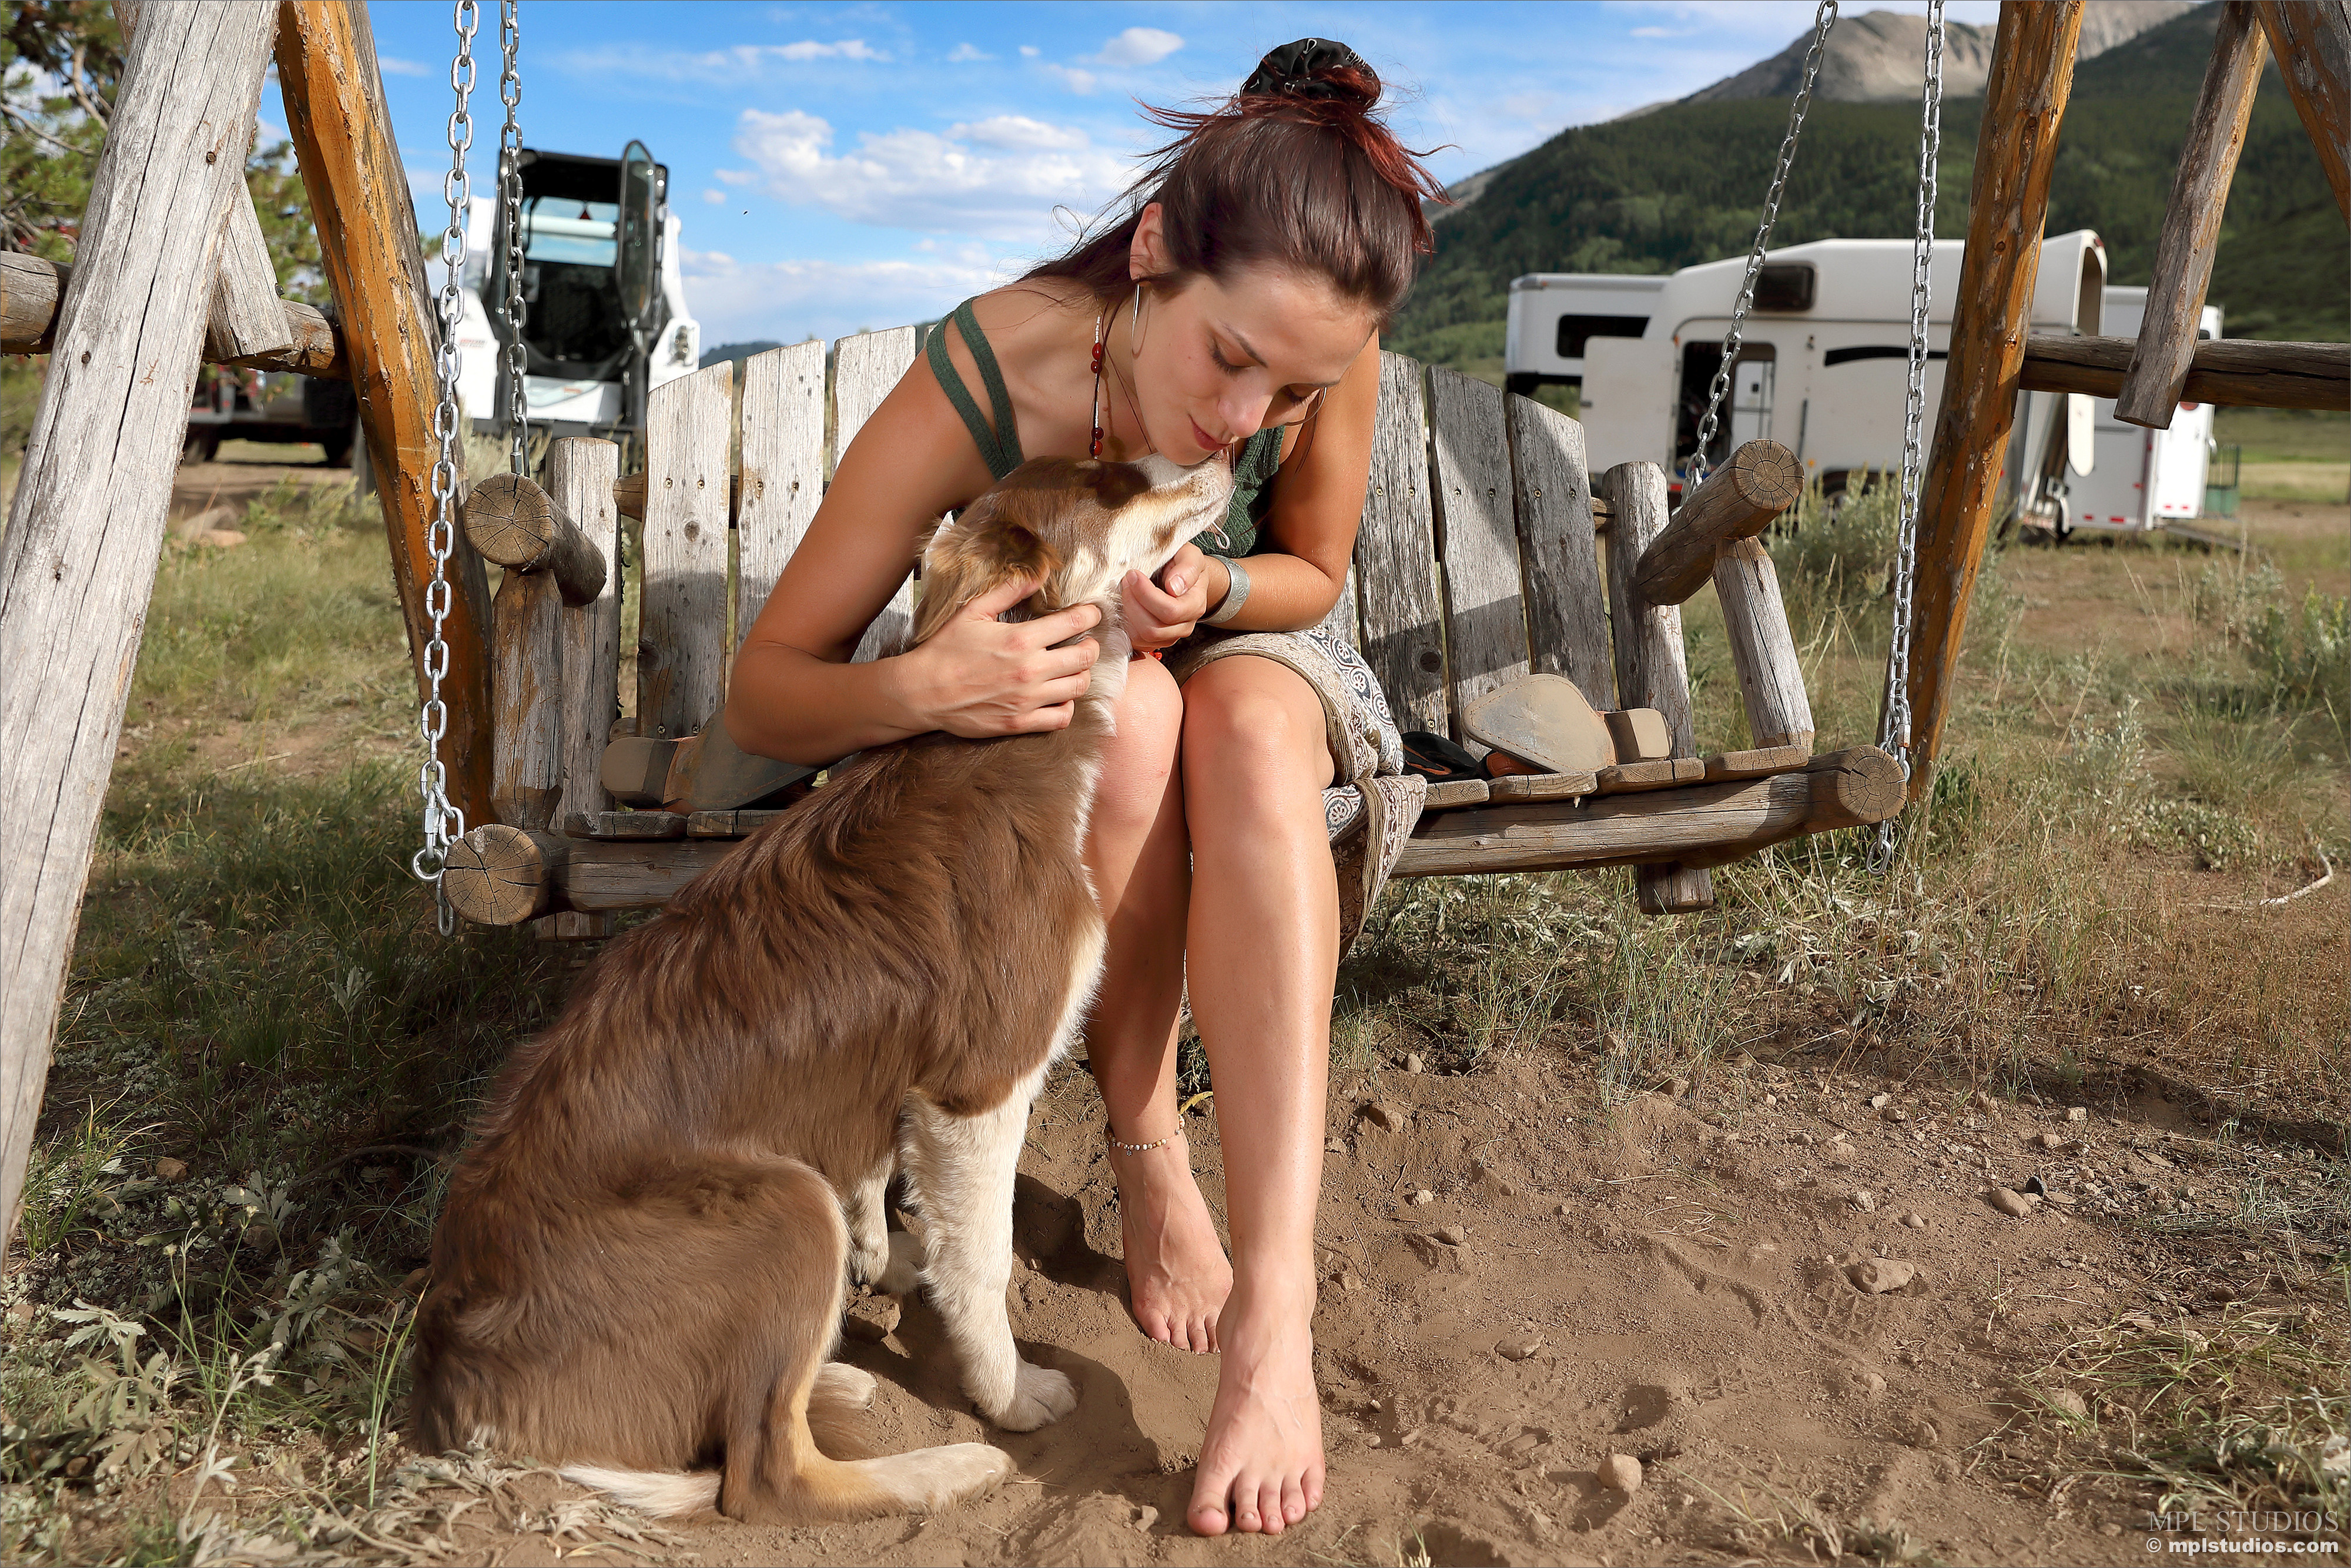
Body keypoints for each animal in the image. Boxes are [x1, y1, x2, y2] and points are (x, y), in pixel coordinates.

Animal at [411, 451, 1241, 1523]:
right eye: (1111, 481)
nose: (1225, 455)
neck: (995, 749)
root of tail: (452, 1378)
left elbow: (879, 1176)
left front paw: (884, 1258)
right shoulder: (979, 1089)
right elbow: (979, 1265)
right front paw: (1009, 1394)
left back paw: (840, 1370)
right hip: (779, 1207)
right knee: (765, 1475)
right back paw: (947, 1465)